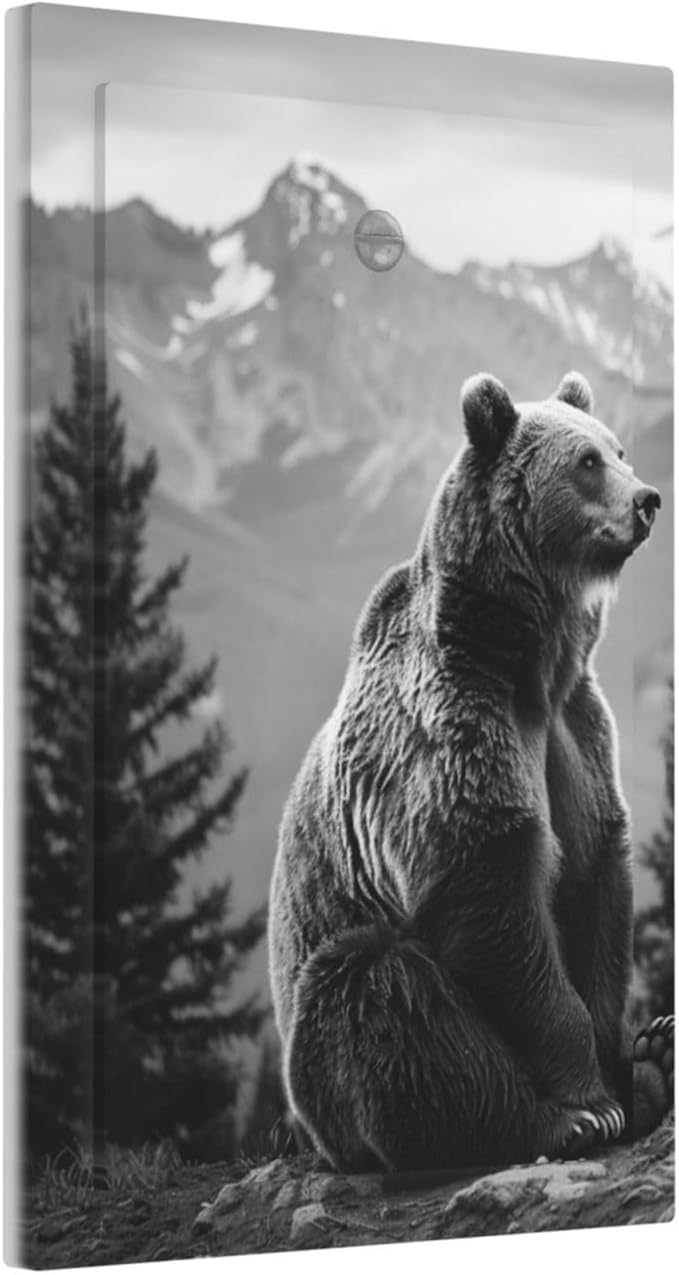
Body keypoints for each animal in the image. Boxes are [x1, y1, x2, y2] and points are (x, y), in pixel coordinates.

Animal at [268, 371, 672, 1173]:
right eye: (586, 462)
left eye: (618, 448)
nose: (646, 499)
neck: (531, 658)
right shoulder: (452, 730)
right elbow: (491, 893)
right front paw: (591, 1098)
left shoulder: (576, 732)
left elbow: (594, 880)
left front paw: (623, 1058)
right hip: (319, 1059)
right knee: (376, 988)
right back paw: (549, 1122)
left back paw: (655, 1057)